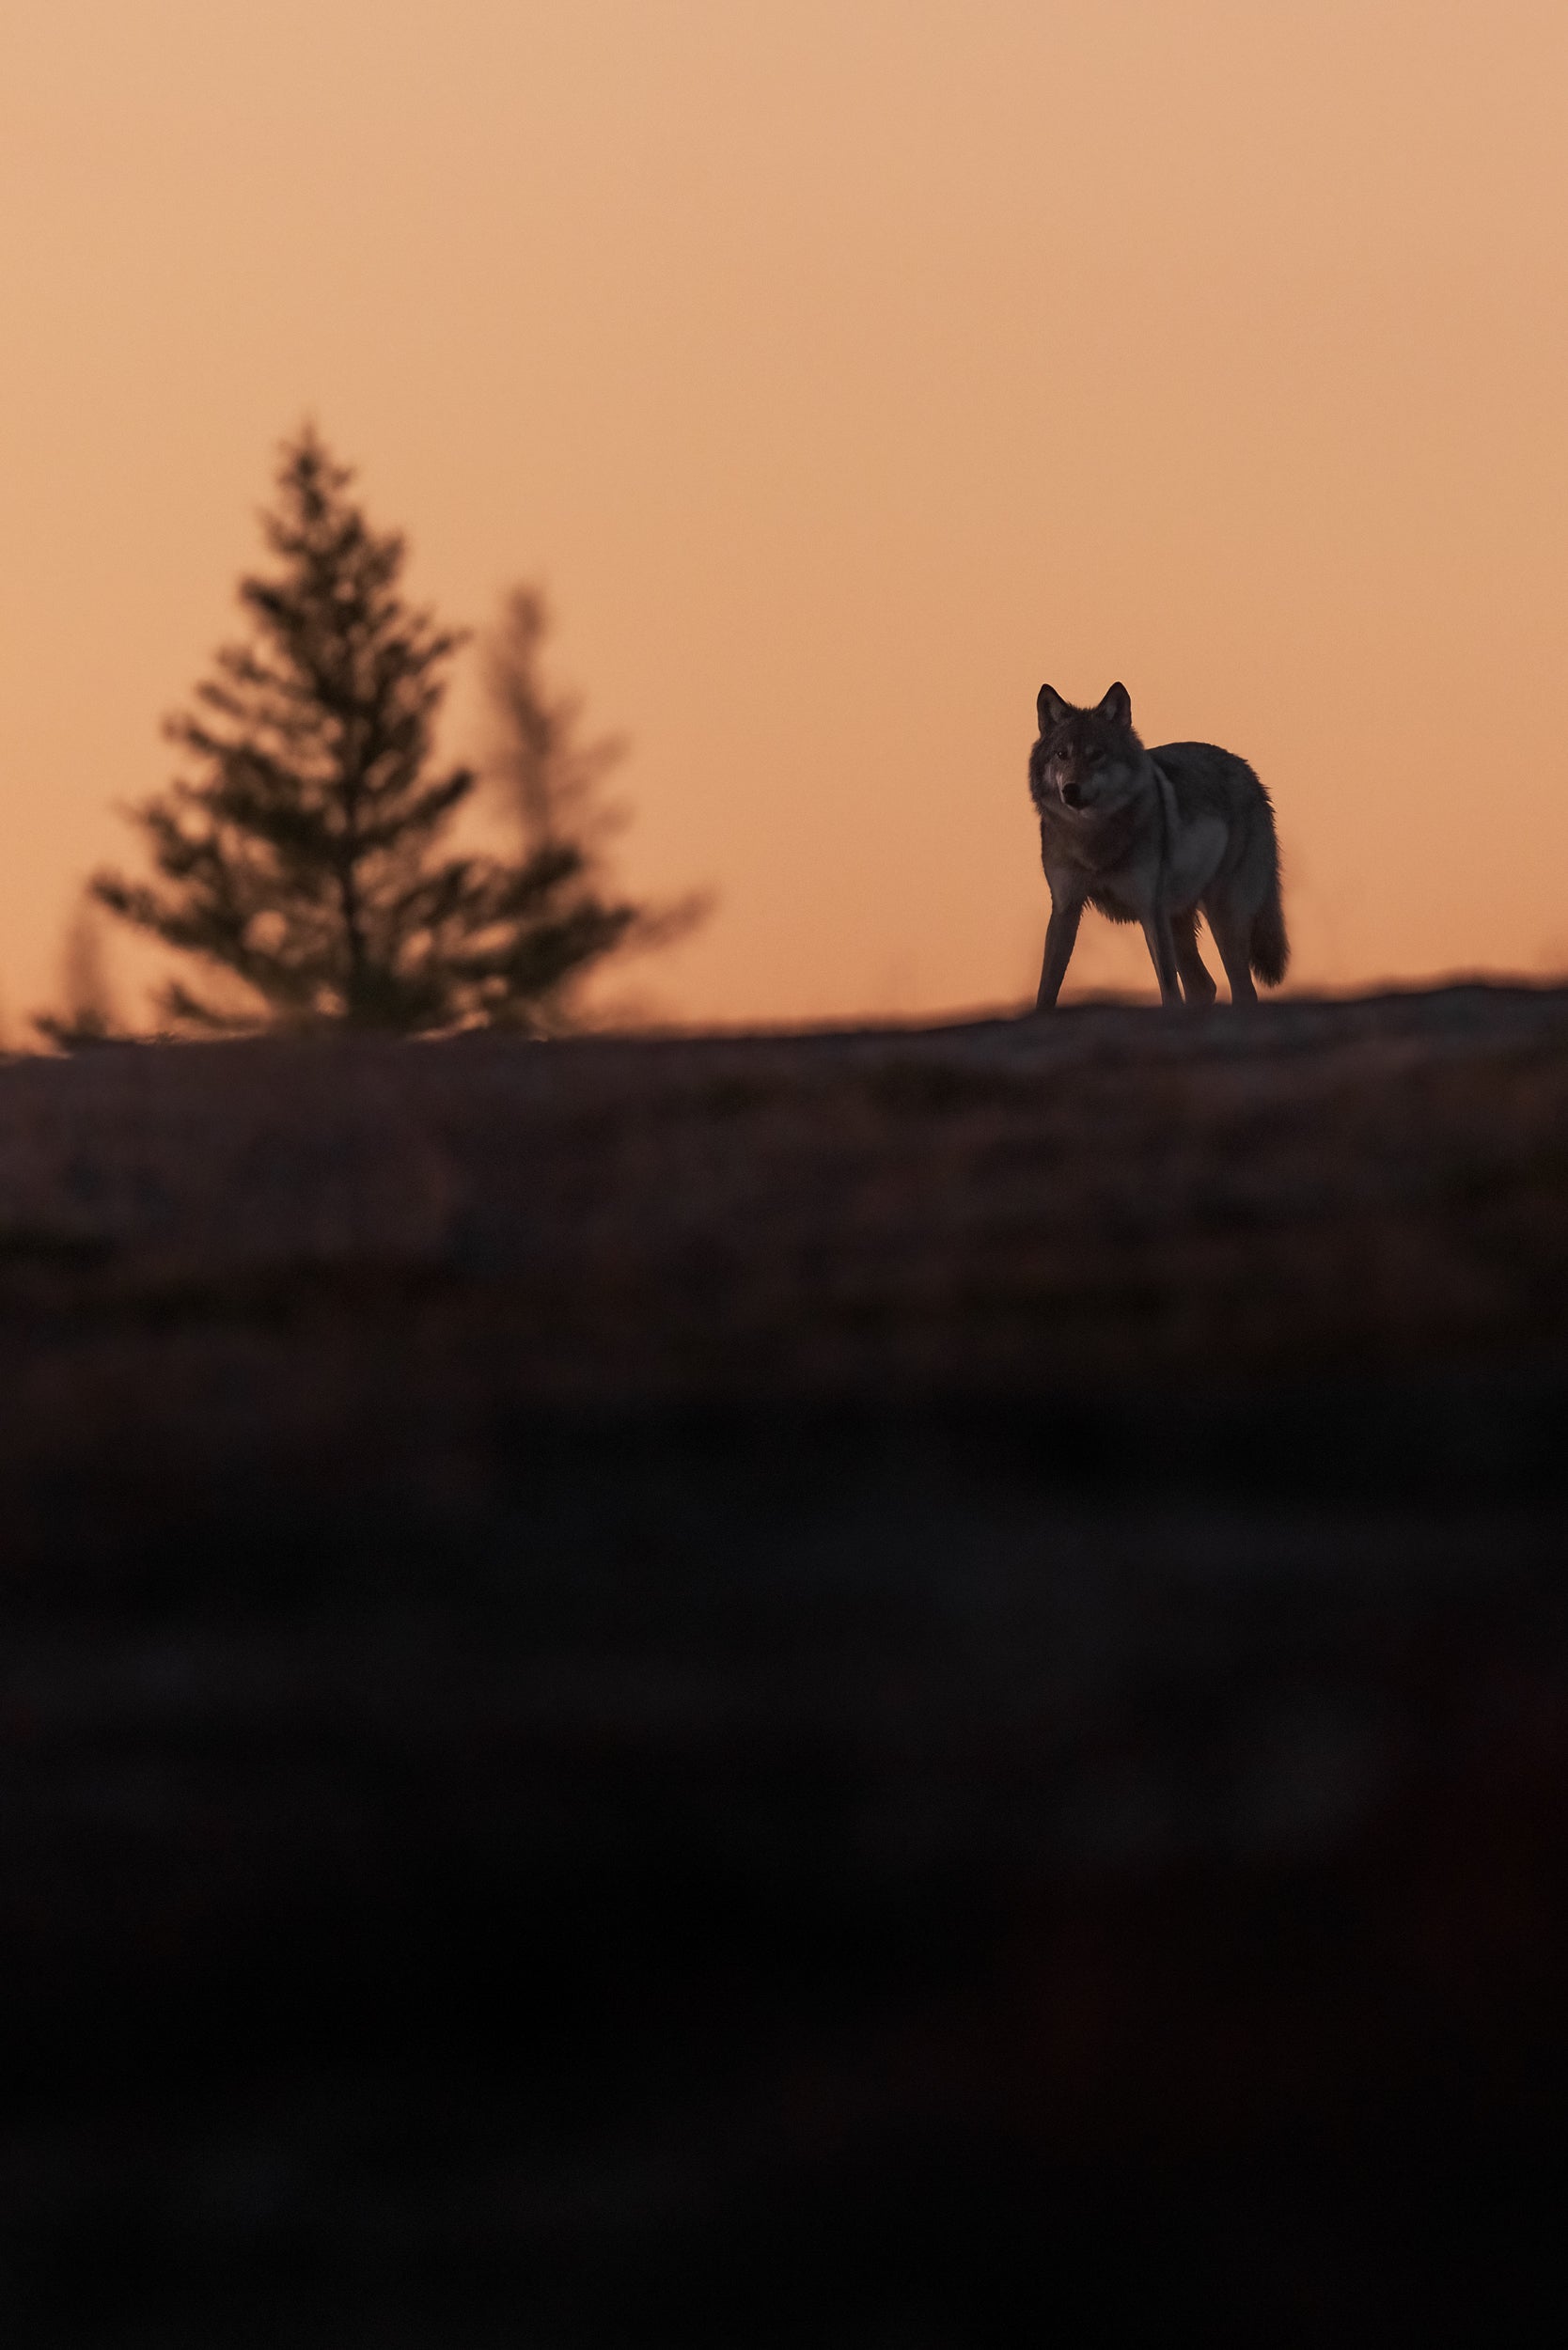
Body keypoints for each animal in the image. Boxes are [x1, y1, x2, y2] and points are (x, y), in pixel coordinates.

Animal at [1028, 682, 1288, 1009]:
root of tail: (1248, 772)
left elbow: (1168, 987)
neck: (1094, 838)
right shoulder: (1065, 907)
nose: (1071, 790)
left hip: (1223, 915)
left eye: (1097, 755)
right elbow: (1046, 989)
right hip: (1180, 920)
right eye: (1062, 754)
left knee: (1243, 990)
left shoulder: (1150, 909)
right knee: (1204, 985)